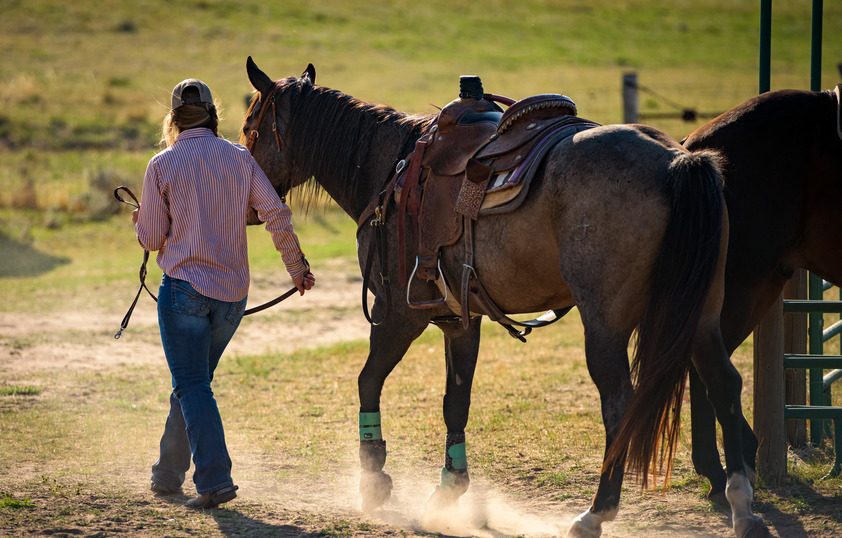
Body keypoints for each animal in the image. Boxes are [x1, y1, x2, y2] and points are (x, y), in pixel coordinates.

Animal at [238, 56, 768, 532]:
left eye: (249, 127)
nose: (248, 208)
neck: (390, 167)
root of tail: (679, 159)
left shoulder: (398, 315)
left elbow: (368, 382)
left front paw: (373, 479)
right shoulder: (459, 319)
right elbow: (456, 400)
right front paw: (449, 489)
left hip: (606, 324)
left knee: (619, 404)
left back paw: (596, 513)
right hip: (698, 314)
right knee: (724, 384)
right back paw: (743, 507)